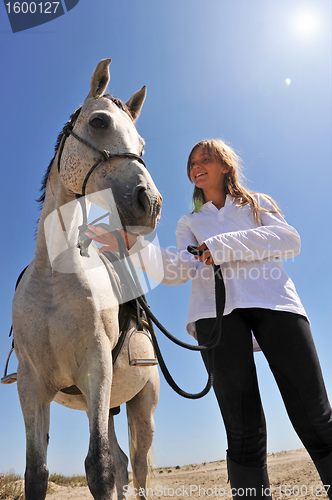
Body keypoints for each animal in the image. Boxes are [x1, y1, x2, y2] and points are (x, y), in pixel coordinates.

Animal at [12, 59, 162, 500]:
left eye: (141, 145)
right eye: (98, 122)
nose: (150, 203)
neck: (55, 276)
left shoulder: (96, 369)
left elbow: (100, 468)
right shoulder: (31, 386)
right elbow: (37, 473)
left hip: (141, 404)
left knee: (138, 467)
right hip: (110, 406)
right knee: (126, 463)